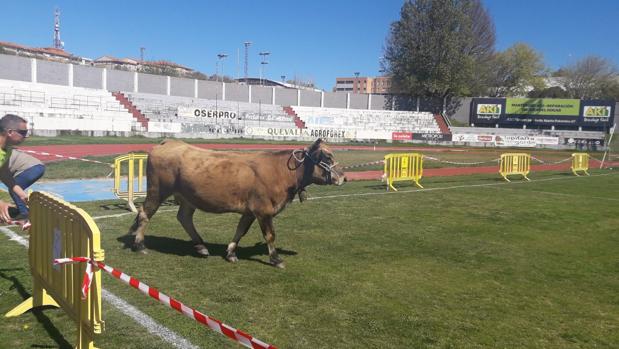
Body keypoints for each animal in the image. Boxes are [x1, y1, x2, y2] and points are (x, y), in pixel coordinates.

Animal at [128, 138, 346, 266]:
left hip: (188, 197)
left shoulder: (250, 210)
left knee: (184, 217)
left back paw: (201, 246)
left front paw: (231, 252)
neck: (282, 171)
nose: (344, 177)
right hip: (157, 190)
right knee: (144, 213)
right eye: (327, 156)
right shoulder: (263, 209)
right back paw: (139, 245)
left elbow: (240, 230)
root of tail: (168, 142)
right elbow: (270, 235)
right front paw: (275, 258)